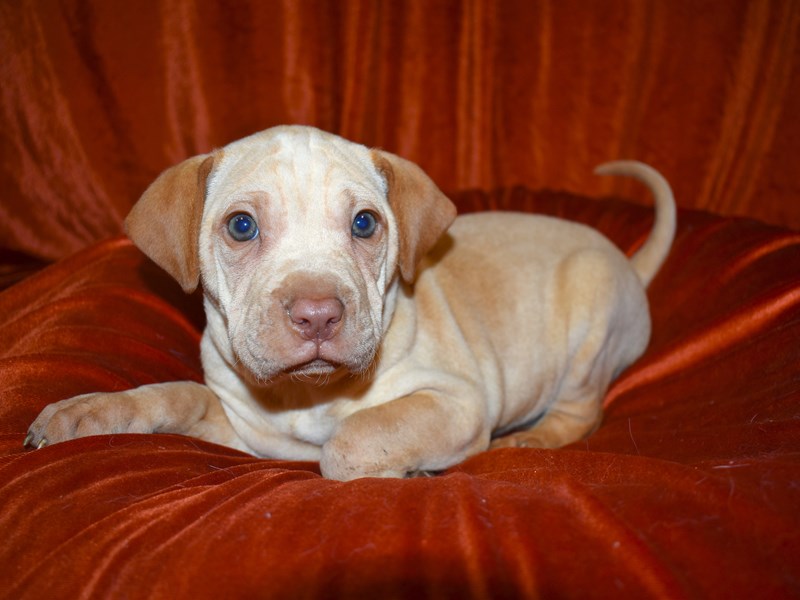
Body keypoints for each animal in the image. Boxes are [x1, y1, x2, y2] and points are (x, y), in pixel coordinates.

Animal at [26, 126, 676, 482]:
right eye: (241, 226)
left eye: (365, 223)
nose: (318, 314)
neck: (308, 396)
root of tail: (628, 263)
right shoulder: (244, 432)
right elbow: (177, 394)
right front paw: (88, 413)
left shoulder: (456, 401)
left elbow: (352, 440)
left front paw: (405, 468)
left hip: (591, 319)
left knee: (579, 411)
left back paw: (530, 439)